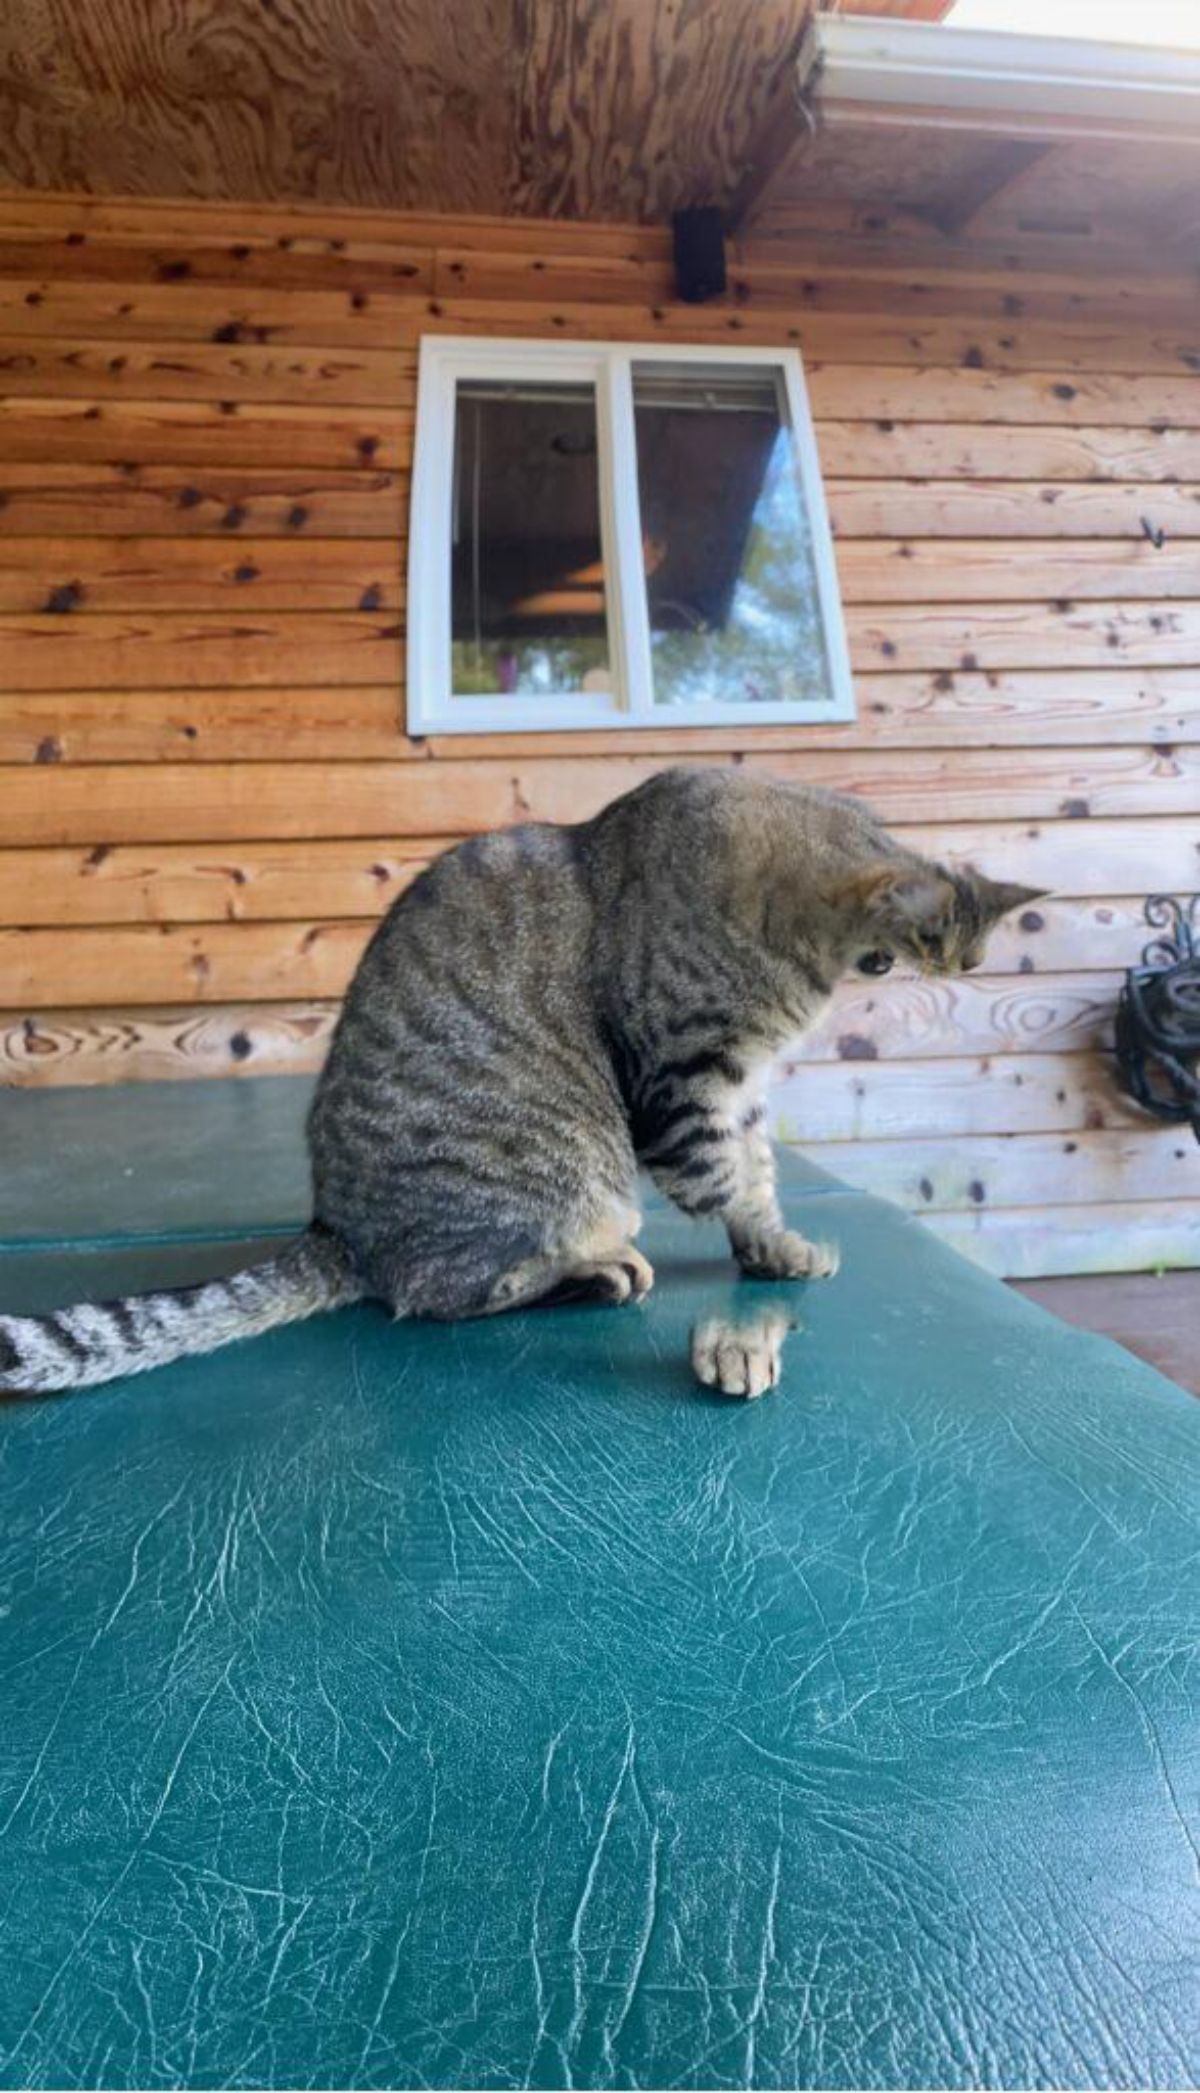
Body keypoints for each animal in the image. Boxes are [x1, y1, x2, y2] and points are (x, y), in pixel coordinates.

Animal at [0, 766, 1038, 1389]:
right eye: (896, 957)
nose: (931, 979)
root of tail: (336, 1232)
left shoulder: (741, 1080)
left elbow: (760, 1168)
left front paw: (776, 1244)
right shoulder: (685, 1077)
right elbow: (726, 1178)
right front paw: (761, 1241)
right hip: (550, 1177)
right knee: (441, 1290)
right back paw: (594, 1268)